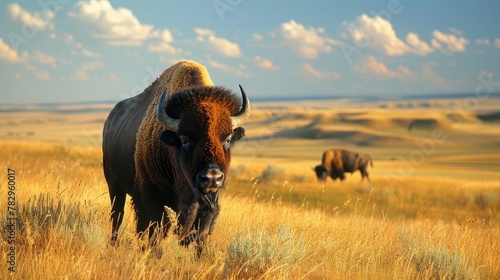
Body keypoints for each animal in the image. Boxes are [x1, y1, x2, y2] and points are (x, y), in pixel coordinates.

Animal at [101, 60, 250, 254]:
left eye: (227, 139)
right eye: (185, 140)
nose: (211, 178)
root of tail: (109, 120)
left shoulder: (208, 205)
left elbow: (200, 236)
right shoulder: (150, 197)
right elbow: (154, 231)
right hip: (113, 184)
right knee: (117, 216)